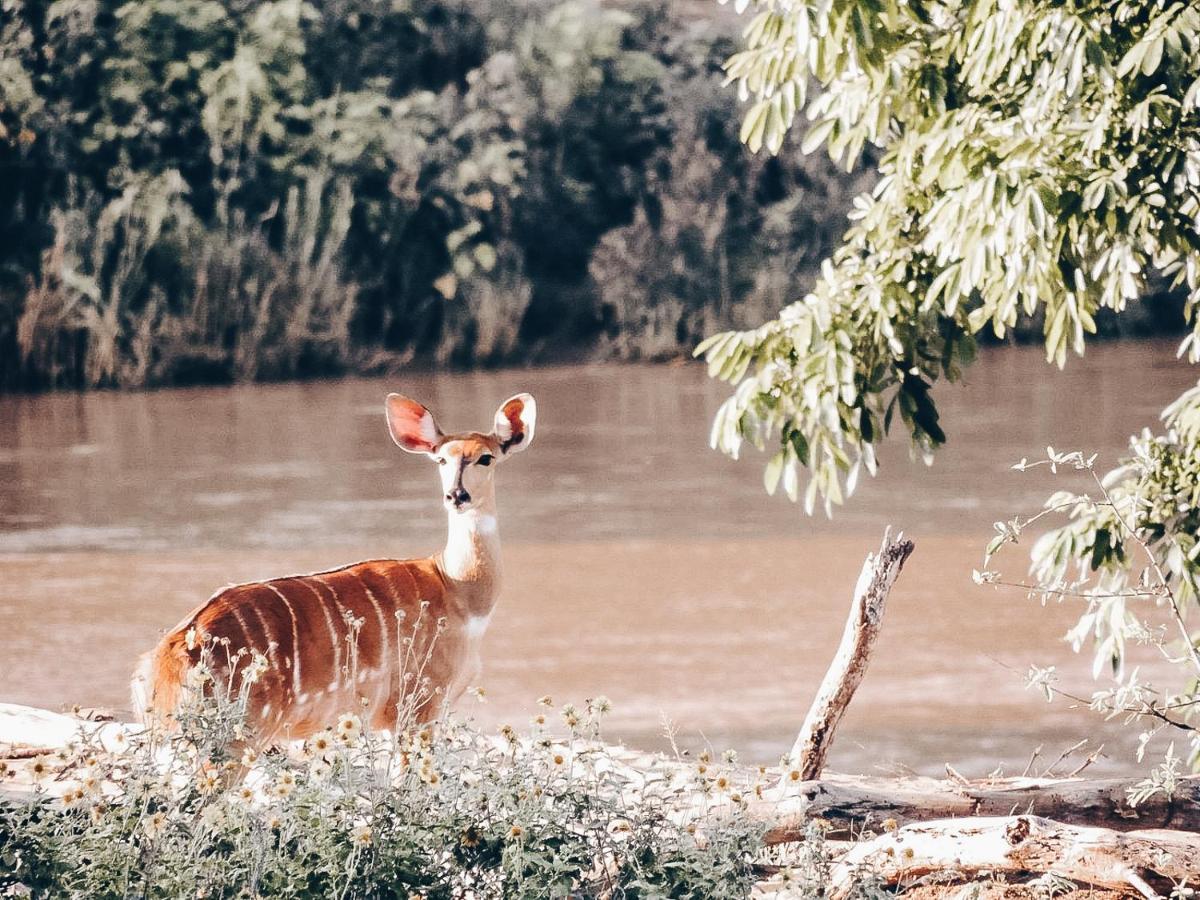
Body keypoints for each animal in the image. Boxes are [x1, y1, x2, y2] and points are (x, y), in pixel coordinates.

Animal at [130, 391, 535, 744]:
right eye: (441, 460)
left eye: (485, 458)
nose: (456, 495)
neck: (459, 590)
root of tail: (168, 656)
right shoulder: (418, 703)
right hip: (240, 734)